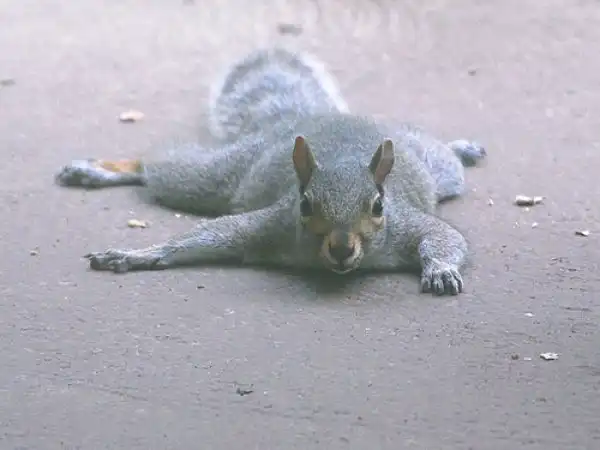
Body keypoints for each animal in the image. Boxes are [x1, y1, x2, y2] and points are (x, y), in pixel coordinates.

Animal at [55, 47, 486, 296]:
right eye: (305, 205)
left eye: (378, 206)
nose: (342, 248)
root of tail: (307, 118)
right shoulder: (272, 224)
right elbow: (211, 235)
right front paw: (137, 254)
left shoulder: (407, 224)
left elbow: (444, 237)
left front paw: (442, 270)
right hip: (218, 175)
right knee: (161, 167)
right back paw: (97, 170)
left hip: (435, 166)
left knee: (445, 159)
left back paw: (463, 147)